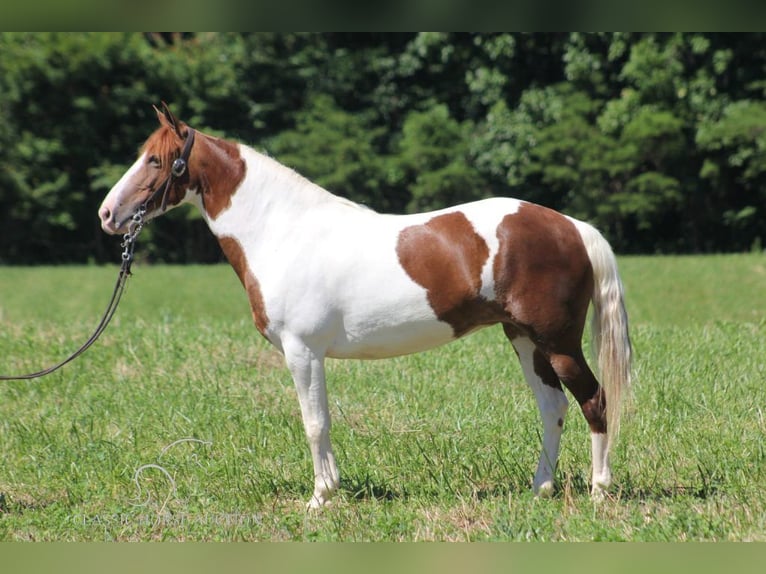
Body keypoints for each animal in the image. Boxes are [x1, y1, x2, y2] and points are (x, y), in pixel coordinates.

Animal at [99, 103, 632, 508]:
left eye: (155, 160)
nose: (107, 214)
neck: (283, 231)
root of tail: (573, 227)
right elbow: (320, 421)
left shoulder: (303, 351)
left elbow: (315, 423)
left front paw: (320, 498)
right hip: (525, 339)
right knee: (552, 406)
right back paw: (540, 488)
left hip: (558, 341)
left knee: (594, 400)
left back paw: (599, 492)